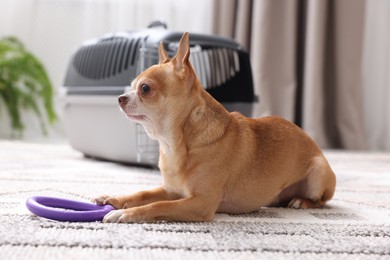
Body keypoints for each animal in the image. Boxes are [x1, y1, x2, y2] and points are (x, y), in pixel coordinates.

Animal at [93, 33, 336, 223]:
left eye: (144, 89)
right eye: (131, 86)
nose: (120, 98)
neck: (174, 144)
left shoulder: (200, 203)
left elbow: (157, 205)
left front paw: (125, 213)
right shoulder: (170, 191)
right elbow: (142, 194)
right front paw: (114, 200)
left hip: (317, 172)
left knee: (321, 201)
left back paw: (301, 201)